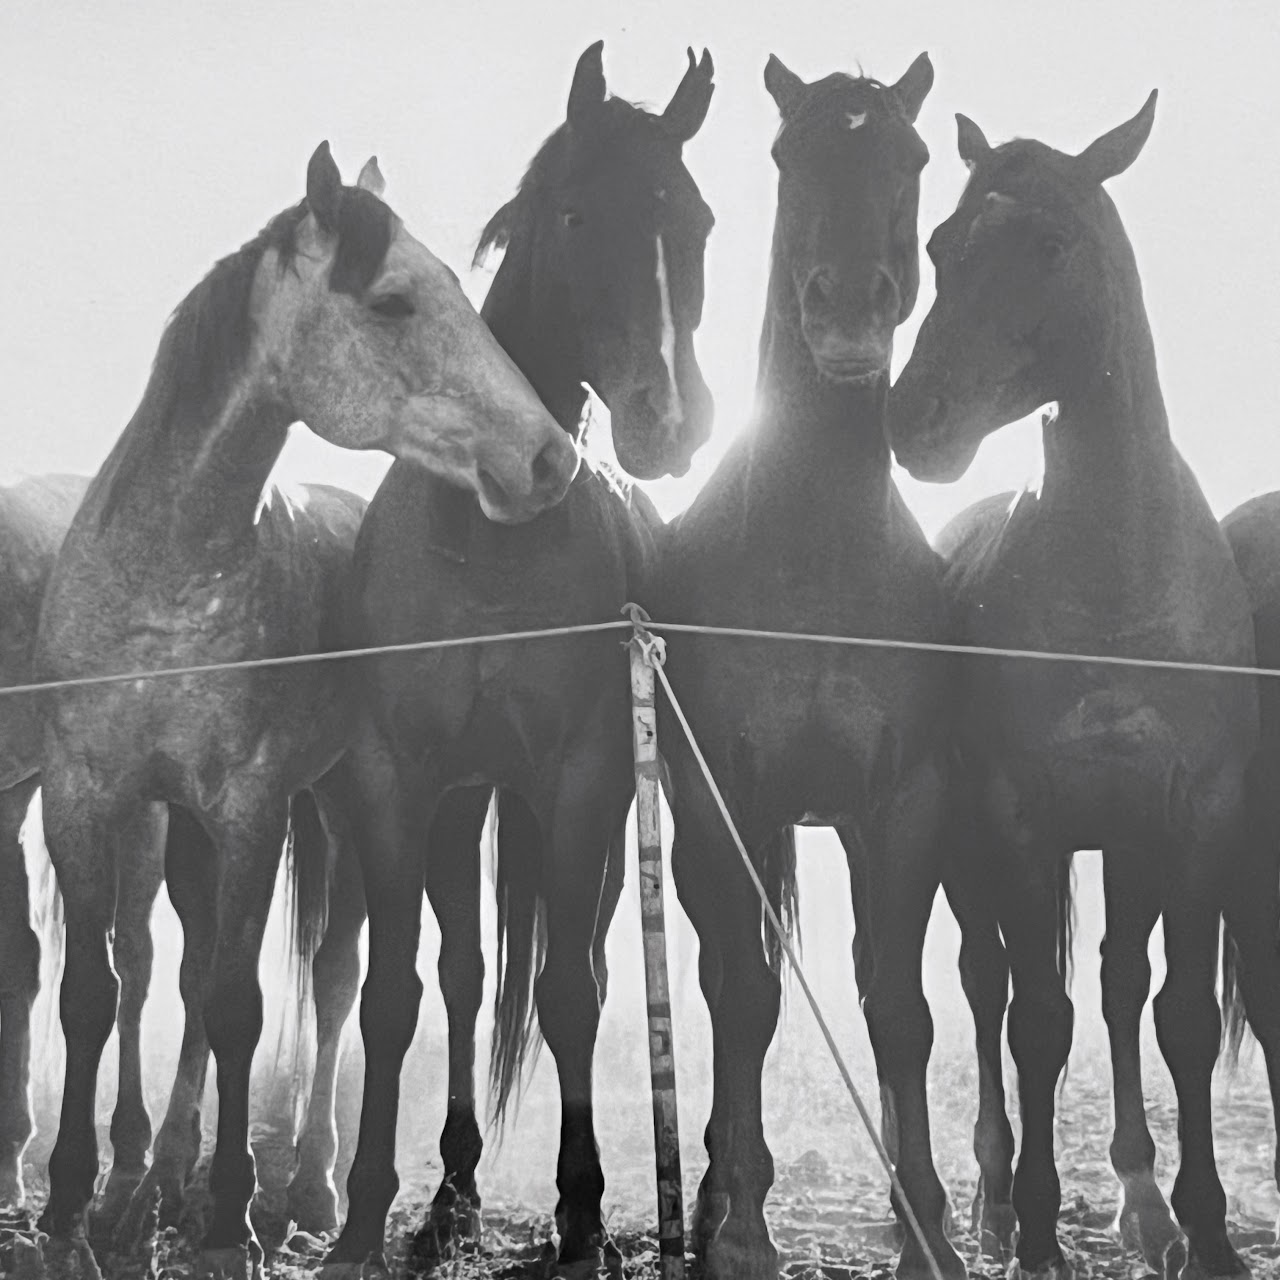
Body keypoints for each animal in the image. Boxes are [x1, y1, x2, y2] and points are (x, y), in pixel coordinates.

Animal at [31, 142, 576, 1280]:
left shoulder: (252, 806)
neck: (165, 577)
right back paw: (153, 1182)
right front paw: (67, 1209)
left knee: (329, 981)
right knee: (190, 971)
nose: (551, 460)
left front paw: (231, 1216)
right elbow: (98, 994)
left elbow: (241, 1006)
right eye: (394, 299)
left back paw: (313, 1186)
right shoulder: (86, 795)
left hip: (339, 811)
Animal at [317, 42, 721, 1280]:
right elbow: (396, 993)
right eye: (578, 212)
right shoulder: (397, 778)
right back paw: (448, 1191)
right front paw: (360, 1216)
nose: (670, 422)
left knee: (565, 967)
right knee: (457, 976)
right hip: (463, 803)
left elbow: (573, 996)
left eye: (694, 221)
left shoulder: (583, 778)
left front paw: (581, 1213)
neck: (488, 531)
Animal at [650, 52, 962, 1280]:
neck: (815, 549)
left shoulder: (905, 805)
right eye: (789, 158)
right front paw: (742, 1229)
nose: (846, 308)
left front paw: (929, 1228)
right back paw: (709, 1194)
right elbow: (743, 1002)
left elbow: (899, 1010)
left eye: (912, 158)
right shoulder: (727, 796)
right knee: (722, 982)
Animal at [890, 97, 1269, 1280]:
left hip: (1128, 847)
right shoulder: (1020, 821)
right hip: (965, 853)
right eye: (938, 246)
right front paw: (1038, 1230)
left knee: (1116, 984)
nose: (914, 417)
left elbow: (1175, 1014)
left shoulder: (1194, 816)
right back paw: (988, 1204)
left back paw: (1142, 1206)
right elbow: (1033, 1024)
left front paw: (1204, 1231)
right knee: (984, 987)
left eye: (1048, 244)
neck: (1119, 581)